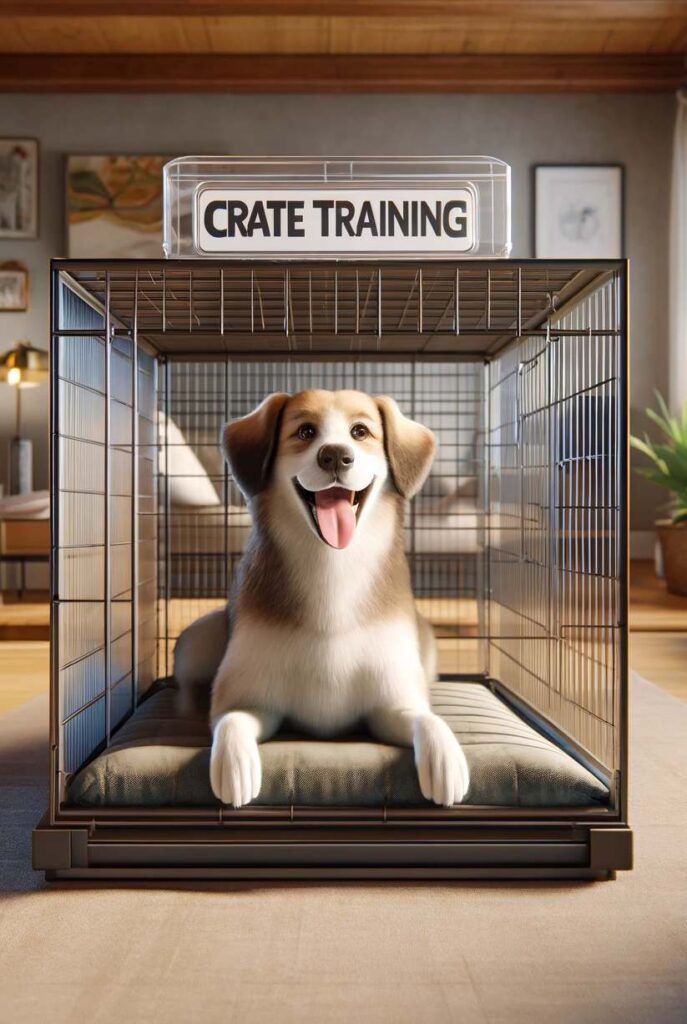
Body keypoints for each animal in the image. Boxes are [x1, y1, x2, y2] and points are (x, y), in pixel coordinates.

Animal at [175, 389, 470, 806]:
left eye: (360, 431)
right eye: (305, 431)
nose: (334, 456)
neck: (332, 571)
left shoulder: (390, 704)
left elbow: (426, 718)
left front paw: (446, 759)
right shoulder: (255, 699)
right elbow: (231, 721)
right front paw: (235, 766)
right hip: (196, 638)